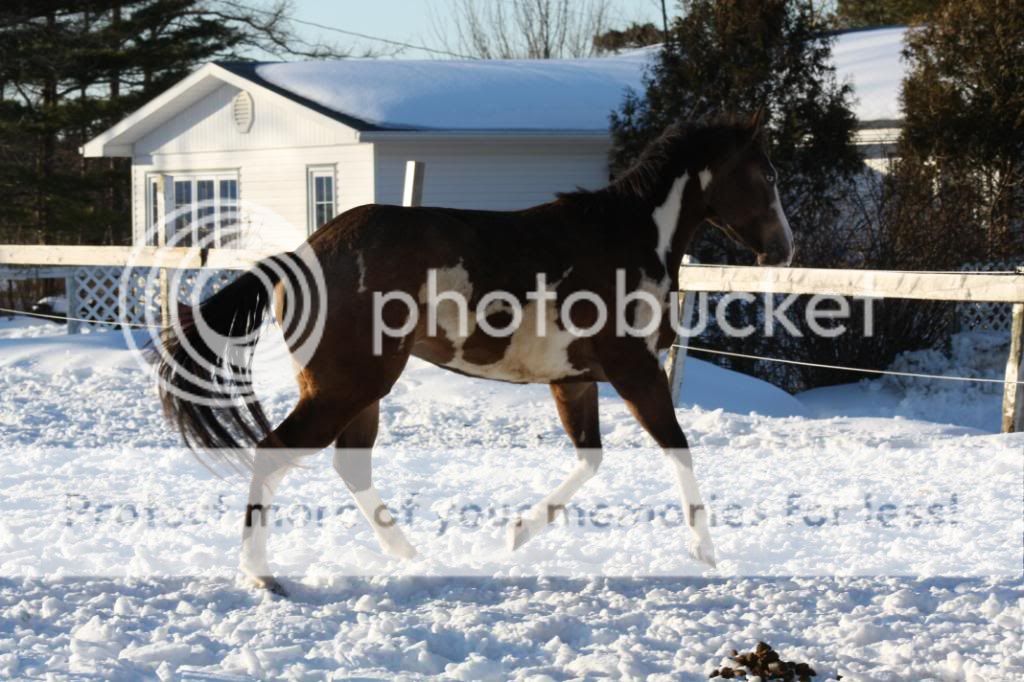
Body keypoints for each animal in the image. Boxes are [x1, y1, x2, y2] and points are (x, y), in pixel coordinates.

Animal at [157, 112, 790, 593]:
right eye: (765, 173)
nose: (782, 249)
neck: (630, 238)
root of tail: (297, 256)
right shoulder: (635, 371)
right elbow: (676, 448)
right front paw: (705, 552)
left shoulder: (575, 378)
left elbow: (590, 458)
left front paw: (517, 531)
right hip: (348, 386)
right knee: (273, 453)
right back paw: (262, 574)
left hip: (359, 388)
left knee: (349, 465)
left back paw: (410, 556)